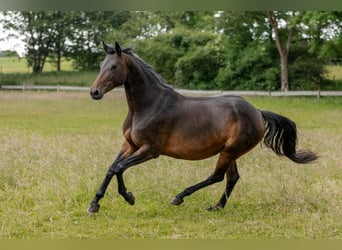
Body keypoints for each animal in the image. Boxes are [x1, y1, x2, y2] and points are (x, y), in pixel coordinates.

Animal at [87, 41, 318, 213]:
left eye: (114, 67)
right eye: (100, 65)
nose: (94, 92)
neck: (148, 105)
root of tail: (258, 112)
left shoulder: (150, 150)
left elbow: (119, 167)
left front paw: (129, 197)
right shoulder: (129, 145)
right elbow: (112, 167)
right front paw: (95, 204)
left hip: (229, 151)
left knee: (217, 176)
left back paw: (180, 197)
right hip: (231, 152)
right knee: (232, 178)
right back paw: (216, 207)